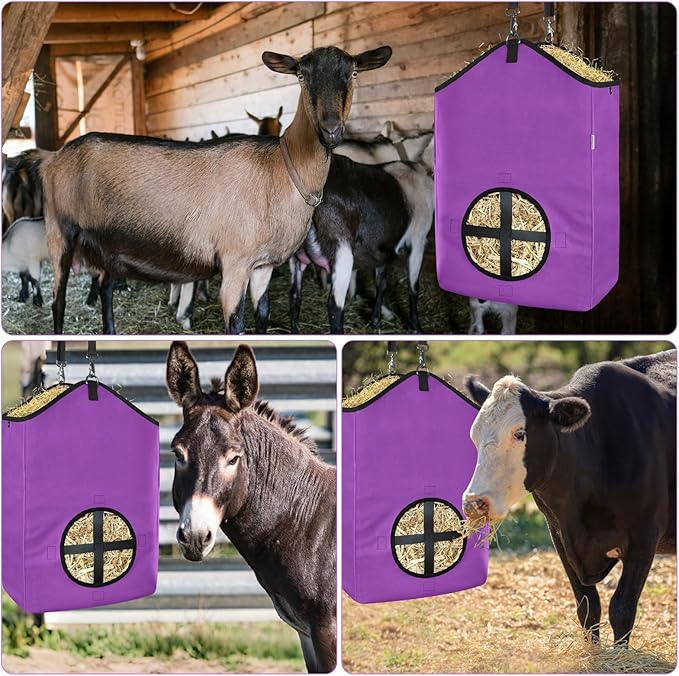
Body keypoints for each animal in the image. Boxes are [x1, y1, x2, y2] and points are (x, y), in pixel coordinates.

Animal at [42, 46, 392, 335]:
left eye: (354, 73)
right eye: (301, 75)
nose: (330, 129)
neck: (282, 168)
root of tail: (55, 158)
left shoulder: (263, 265)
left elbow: (262, 316)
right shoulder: (235, 263)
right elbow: (236, 324)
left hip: (109, 246)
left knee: (104, 288)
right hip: (60, 230)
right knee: (58, 301)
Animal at [290, 154, 433, 333]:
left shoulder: (382, 249)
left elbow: (381, 283)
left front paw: (376, 321)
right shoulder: (418, 240)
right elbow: (413, 287)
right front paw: (416, 327)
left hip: (295, 255)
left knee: (294, 297)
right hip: (342, 252)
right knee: (335, 307)